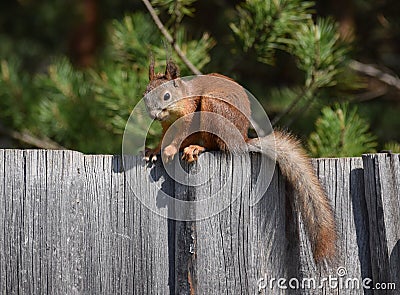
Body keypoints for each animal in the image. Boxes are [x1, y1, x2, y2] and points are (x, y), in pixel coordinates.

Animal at [142, 59, 336, 262]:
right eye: (144, 95)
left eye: (166, 96)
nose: (153, 114)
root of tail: (242, 139)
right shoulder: (166, 126)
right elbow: (163, 138)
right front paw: (153, 151)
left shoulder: (191, 113)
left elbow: (183, 134)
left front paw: (171, 149)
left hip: (213, 108)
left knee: (214, 145)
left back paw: (197, 148)